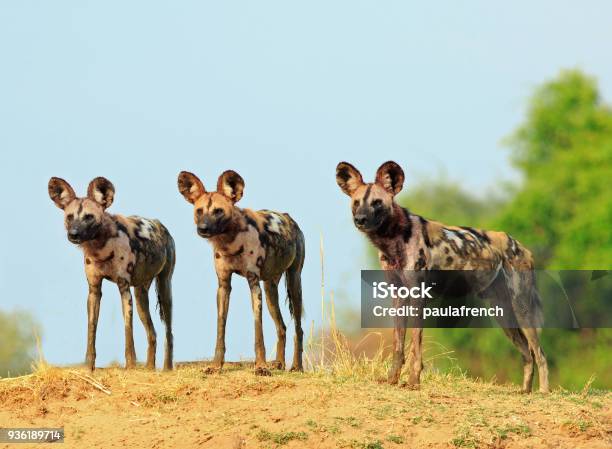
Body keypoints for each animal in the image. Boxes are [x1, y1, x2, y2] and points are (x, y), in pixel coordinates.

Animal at [48, 177, 175, 370]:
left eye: (89, 217)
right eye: (70, 217)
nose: (73, 234)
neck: (100, 249)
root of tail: (161, 225)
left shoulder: (124, 288)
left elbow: (127, 329)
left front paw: (130, 366)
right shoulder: (94, 290)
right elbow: (91, 328)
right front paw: (89, 367)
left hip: (164, 287)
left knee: (169, 332)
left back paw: (167, 368)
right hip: (140, 296)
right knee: (152, 333)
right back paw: (149, 369)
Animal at [177, 170, 304, 372]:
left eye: (218, 211)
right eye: (199, 211)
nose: (203, 229)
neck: (230, 243)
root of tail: (288, 217)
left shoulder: (253, 283)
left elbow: (258, 332)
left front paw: (261, 367)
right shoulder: (223, 286)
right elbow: (220, 328)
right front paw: (216, 366)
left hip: (294, 283)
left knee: (298, 329)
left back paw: (296, 366)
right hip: (270, 290)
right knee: (282, 327)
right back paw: (279, 363)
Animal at [334, 161, 548, 392]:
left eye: (377, 203)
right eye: (357, 203)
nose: (360, 219)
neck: (393, 241)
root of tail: (519, 245)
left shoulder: (418, 296)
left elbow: (415, 347)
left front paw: (413, 382)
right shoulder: (398, 296)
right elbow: (398, 346)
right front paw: (392, 380)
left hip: (521, 308)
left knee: (540, 355)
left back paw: (543, 393)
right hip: (503, 314)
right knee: (527, 355)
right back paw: (525, 392)